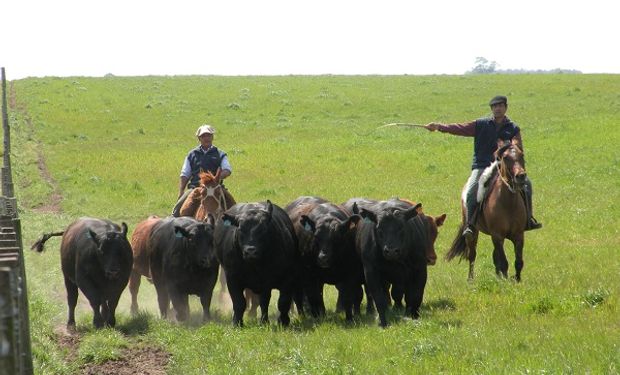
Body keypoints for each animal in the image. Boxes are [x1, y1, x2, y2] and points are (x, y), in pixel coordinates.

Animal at [446, 142, 528, 282]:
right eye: (506, 158)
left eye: (521, 155)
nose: (520, 176)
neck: (508, 203)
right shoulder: (498, 236)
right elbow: (504, 262)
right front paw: (506, 281)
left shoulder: (518, 235)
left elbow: (518, 261)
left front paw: (517, 280)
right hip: (473, 233)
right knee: (472, 255)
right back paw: (471, 280)